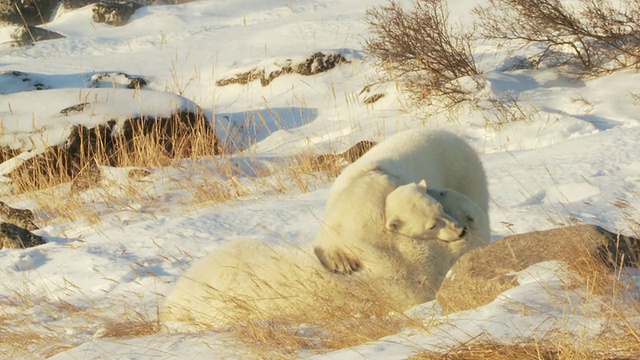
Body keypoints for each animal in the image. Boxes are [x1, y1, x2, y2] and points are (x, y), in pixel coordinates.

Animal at [316, 129, 490, 290]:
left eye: (440, 208)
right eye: (431, 226)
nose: (460, 231)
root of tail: (453, 135)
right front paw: (340, 263)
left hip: (464, 174)